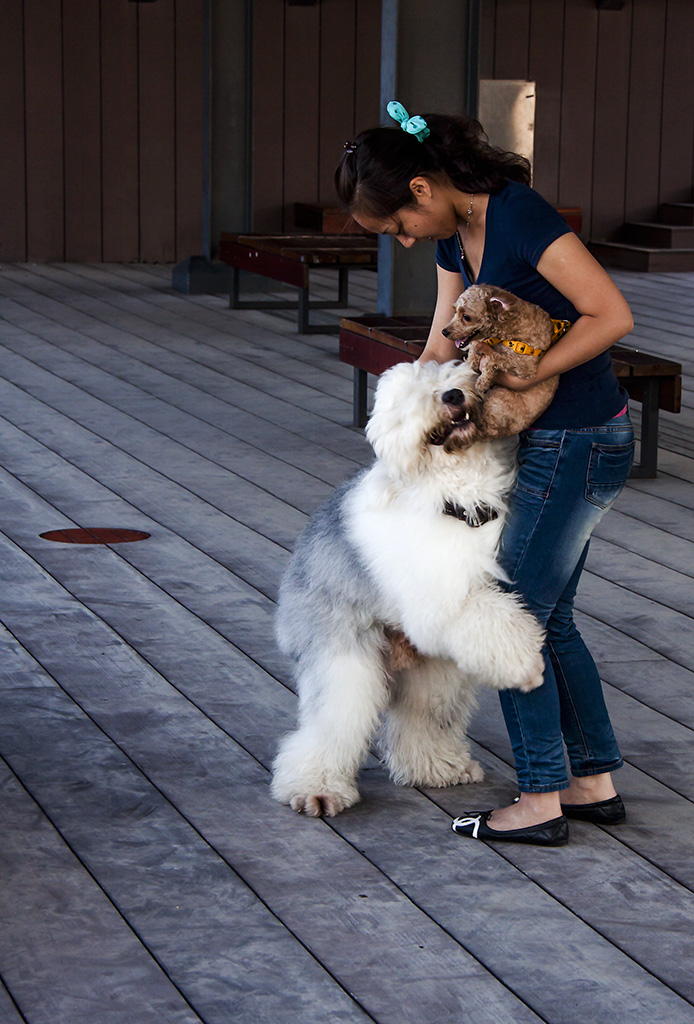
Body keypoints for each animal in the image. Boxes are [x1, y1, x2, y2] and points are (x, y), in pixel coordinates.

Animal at [268, 360, 544, 815]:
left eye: (450, 371)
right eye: (411, 397)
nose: (452, 395)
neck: (458, 493)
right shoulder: (442, 600)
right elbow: (492, 617)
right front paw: (527, 666)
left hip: (431, 671)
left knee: (423, 719)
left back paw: (438, 767)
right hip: (346, 659)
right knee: (331, 725)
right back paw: (316, 787)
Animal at [442, 282, 569, 438]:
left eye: (466, 316)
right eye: (454, 311)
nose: (444, 332)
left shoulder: (525, 367)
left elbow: (493, 358)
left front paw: (483, 379)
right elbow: (475, 346)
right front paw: (471, 359)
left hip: (498, 396)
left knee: (485, 427)